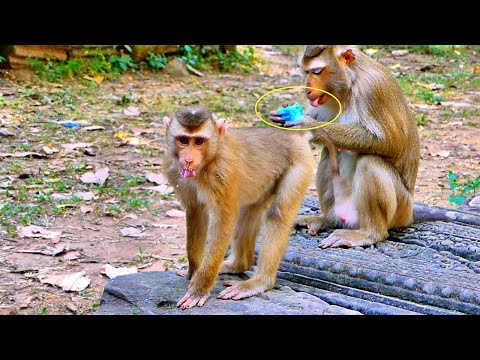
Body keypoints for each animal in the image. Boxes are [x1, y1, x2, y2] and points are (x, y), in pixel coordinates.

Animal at [164, 105, 316, 308]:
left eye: (199, 141)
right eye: (183, 140)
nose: (188, 159)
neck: (209, 159)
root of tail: (295, 135)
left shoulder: (222, 173)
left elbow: (224, 222)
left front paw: (200, 288)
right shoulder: (174, 170)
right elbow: (196, 212)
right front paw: (193, 272)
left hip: (300, 164)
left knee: (278, 213)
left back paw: (260, 282)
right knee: (250, 210)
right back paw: (238, 265)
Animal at [270, 44, 420, 248]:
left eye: (316, 72)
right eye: (305, 71)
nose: (307, 90)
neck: (349, 85)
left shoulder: (373, 89)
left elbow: (391, 143)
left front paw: (305, 124)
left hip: (400, 211)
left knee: (369, 162)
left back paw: (370, 233)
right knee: (328, 153)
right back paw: (327, 219)